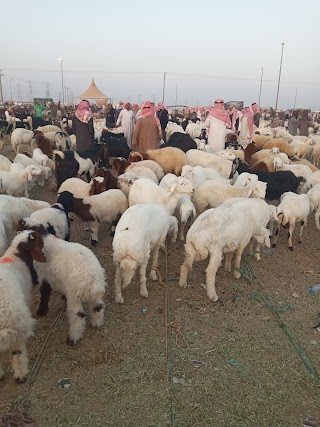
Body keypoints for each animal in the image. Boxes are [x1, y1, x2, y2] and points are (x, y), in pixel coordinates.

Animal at [0, 231, 47, 382]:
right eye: (38, 238)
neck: (15, 258)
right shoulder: (26, 296)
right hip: (17, 327)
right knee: (18, 354)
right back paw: (21, 375)